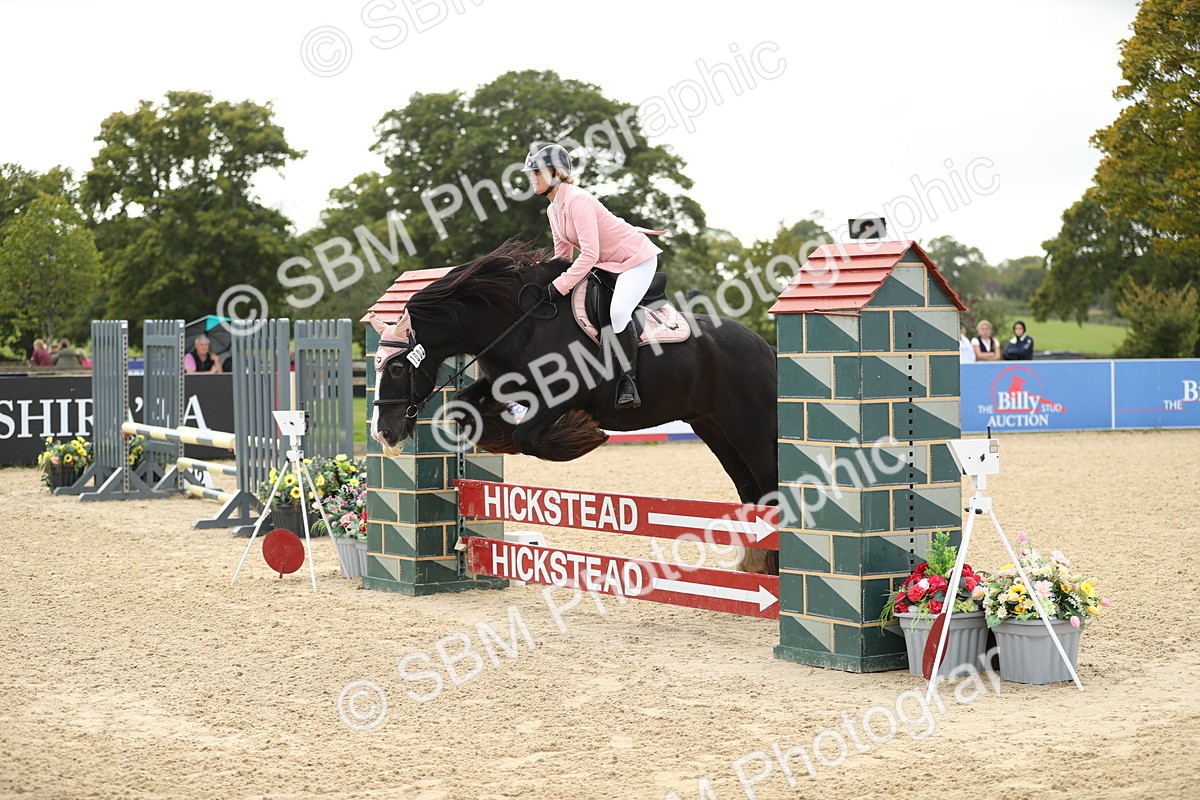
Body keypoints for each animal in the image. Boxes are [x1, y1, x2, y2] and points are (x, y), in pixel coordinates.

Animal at [369, 240, 779, 574]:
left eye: (396, 367)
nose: (384, 432)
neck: (518, 324)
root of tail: (765, 347)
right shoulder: (505, 385)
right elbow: (461, 406)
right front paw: (498, 432)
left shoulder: (561, 396)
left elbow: (527, 436)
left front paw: (580, 434)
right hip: (713, 428)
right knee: (750, 490)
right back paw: (757, 566)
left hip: (749, 427)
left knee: (770, 483)